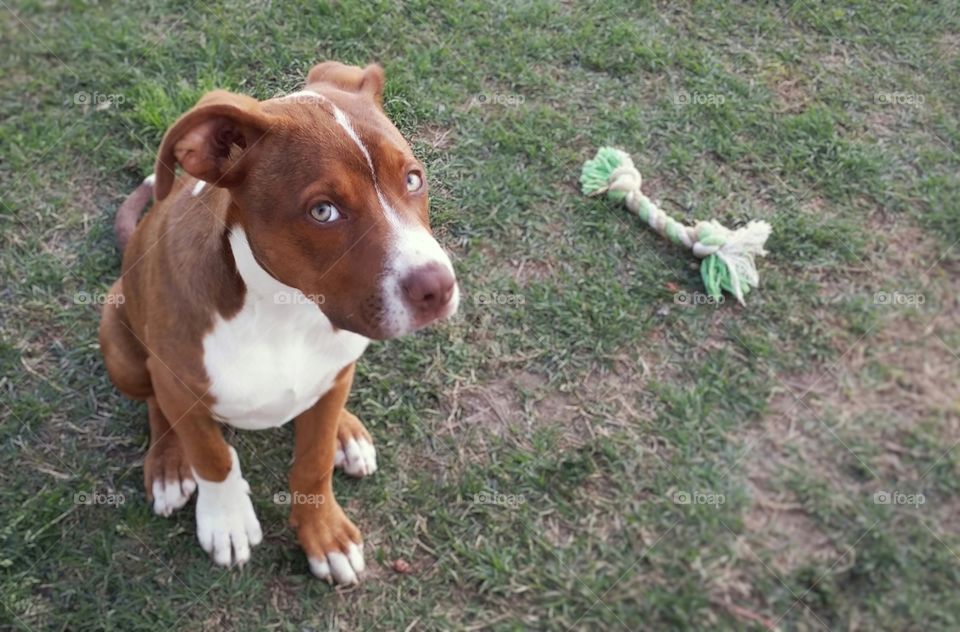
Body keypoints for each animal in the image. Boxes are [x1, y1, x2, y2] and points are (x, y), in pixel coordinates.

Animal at [99, 61, 460, 584]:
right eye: (323, 211)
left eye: (413, 179)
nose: (438, 287)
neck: (286, 310)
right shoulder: (177, 383)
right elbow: (210, 454)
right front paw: (226, 519)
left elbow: (313, 462)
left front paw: (324, 534)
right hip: (118, 343)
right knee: (155, 403)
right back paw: (168, 462)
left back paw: (346, 431)